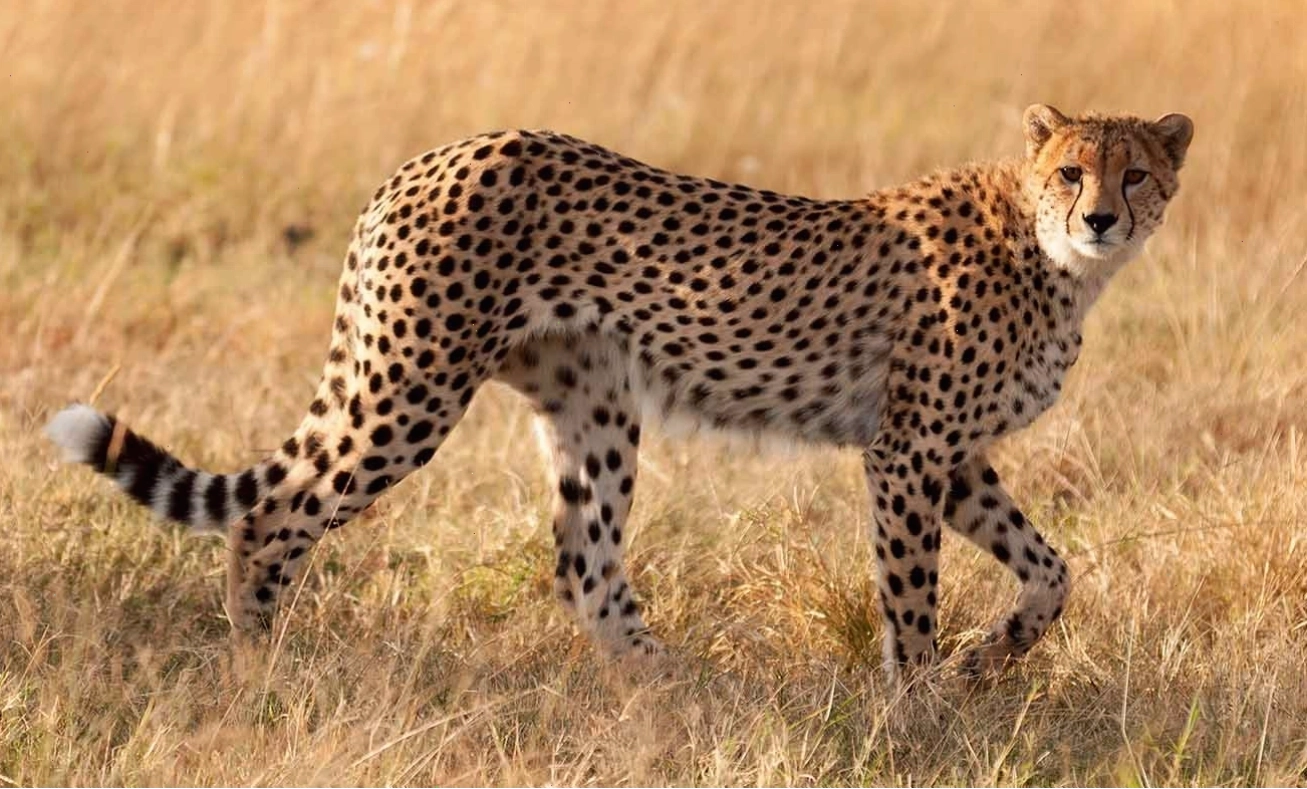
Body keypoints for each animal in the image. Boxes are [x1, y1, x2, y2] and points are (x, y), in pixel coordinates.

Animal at [45, 103, 1193, 684]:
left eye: (1133, 172)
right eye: (1068, 172)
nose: (1099, 217)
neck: (1050, 259)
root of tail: (425, 158)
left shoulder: (948, 456)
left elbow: (1052, 571)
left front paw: (986, 663)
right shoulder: (907, 449)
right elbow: (909, 597)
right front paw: (916, 709)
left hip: (590, 404)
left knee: (582, 565)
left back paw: (676, 689)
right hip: (411, 386)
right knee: (274, 514)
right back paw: (261, 666)